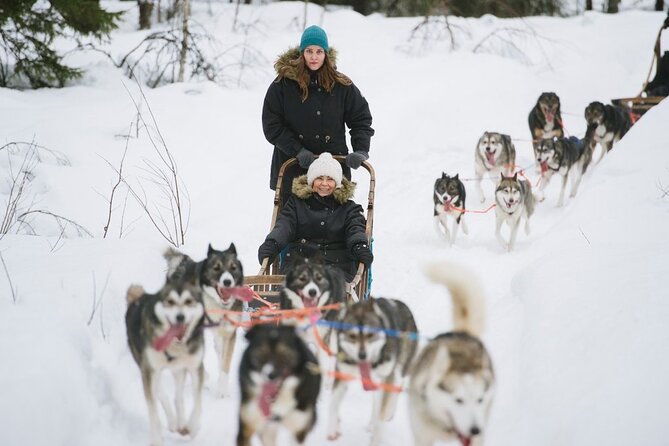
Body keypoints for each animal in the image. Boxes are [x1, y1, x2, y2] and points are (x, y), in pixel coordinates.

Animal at [124, 278, 204, 446]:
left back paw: (181, 421)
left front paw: (193, 426)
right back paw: (173, 421)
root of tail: (138, 298)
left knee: (178, 395)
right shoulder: (149, 370)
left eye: (189, 301)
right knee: (161, 393)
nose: (180, 317)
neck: (175, 345)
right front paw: (156, 439)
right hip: (146, 366)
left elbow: (198, 400)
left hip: (178, 369)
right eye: (170, 302)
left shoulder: (195, 367)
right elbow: (153, 409)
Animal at [164, 244, 245, 398]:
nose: (227, 282)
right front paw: (204, 378)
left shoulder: (228, 333)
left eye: (233, 268)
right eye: (216, 268)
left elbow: (225, 364)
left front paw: (222, 390)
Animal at [326, 296, 414, 446]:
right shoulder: (343, 373)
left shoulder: (387, 376)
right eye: (352, 335)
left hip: (398, 369)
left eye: (370, 335)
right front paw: (333, 427)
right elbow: (332, 403)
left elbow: (382, 413)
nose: (362, 355)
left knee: (395, 390)